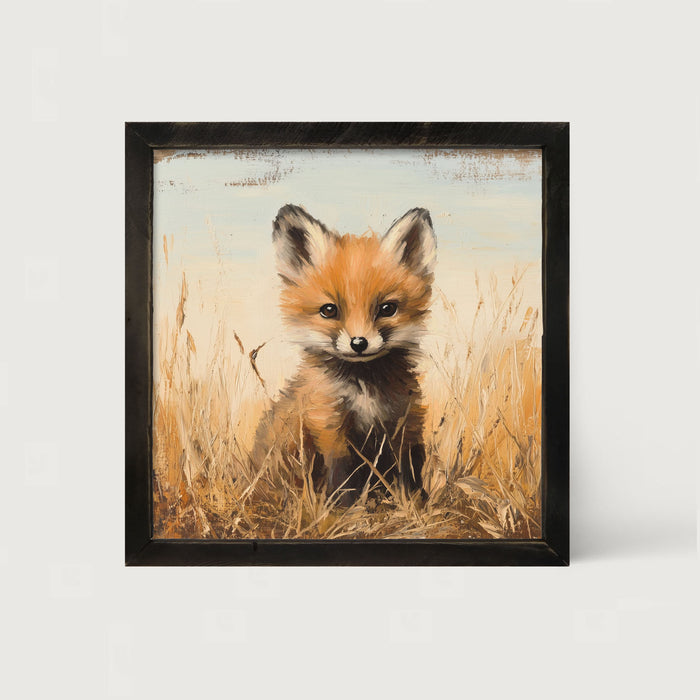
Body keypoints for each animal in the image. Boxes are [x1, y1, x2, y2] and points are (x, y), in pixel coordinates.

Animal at [253, 204, 436, 506]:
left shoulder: (404, 420)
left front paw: (414, 504)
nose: (359, 342)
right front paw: (347, 509)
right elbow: (342, 473)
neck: (364, 389)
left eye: (387, 308)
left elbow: (409, 469)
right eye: (329, 310)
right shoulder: (328, 423)